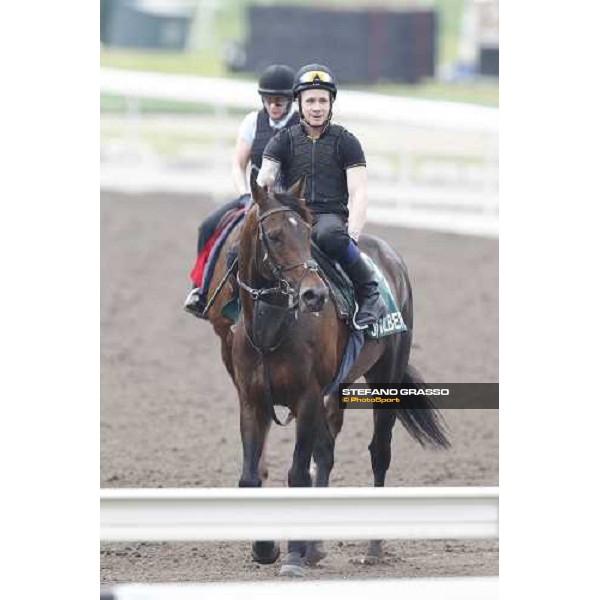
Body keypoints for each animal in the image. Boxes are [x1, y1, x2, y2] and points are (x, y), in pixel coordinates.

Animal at [204, 178, 448, 576]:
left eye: (306, 233)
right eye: (274, 236)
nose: (314, 294)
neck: (273, 329)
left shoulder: (306, 398)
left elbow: (298, 474)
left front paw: (291, 557)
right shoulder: (253, 401)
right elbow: (251, 475)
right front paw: (265, 548)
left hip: (386, 377)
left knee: (379, 452)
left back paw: (372, 547)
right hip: (336, 389)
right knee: (327, 452)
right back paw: (315, 547)